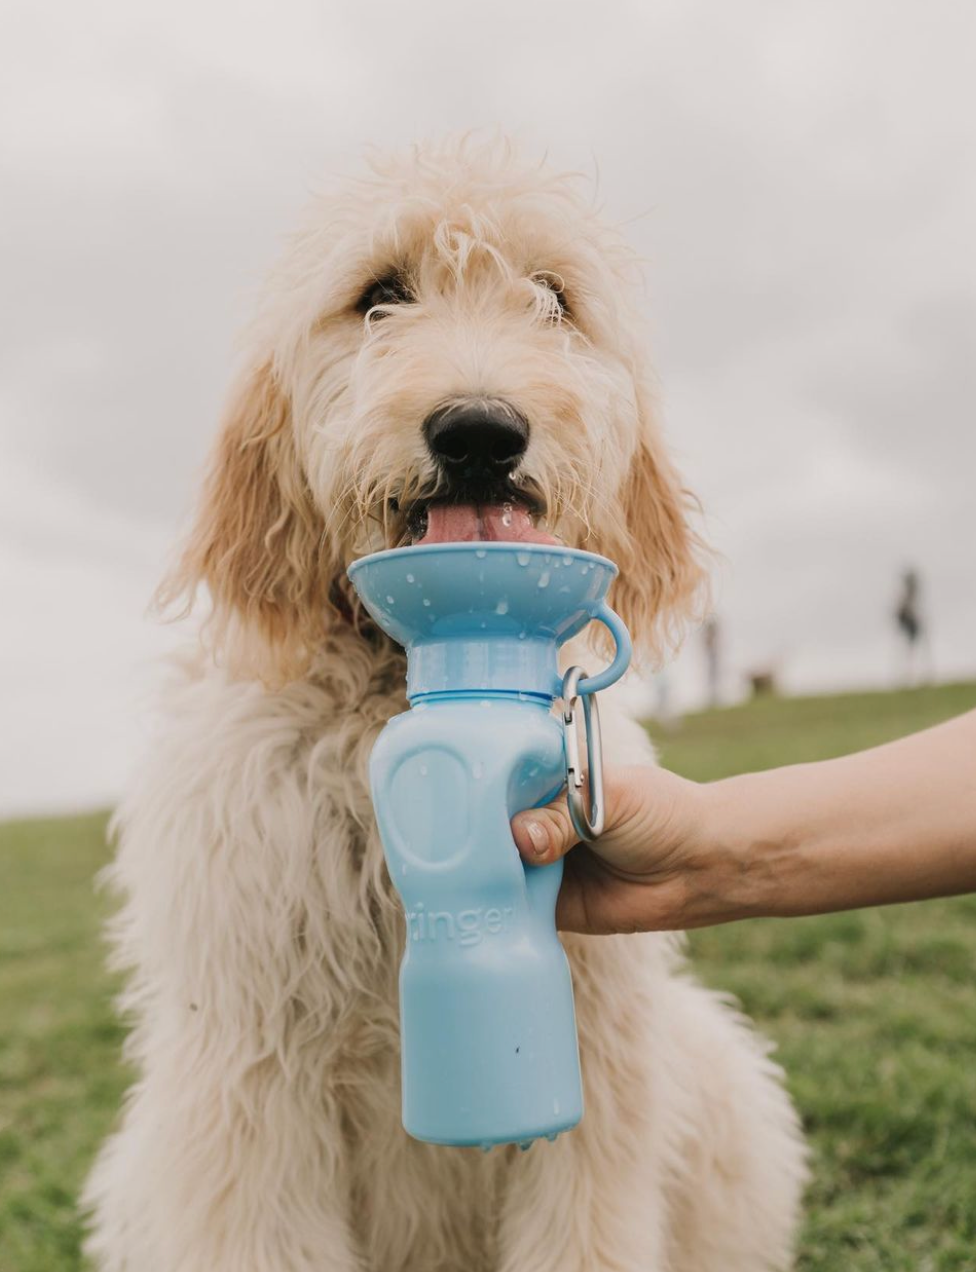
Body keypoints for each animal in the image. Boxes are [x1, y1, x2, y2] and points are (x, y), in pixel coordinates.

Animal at [83, 139, 804, 1272]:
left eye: (552, 297)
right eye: (379, 294)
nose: (479, 431)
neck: (391, 686)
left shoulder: (596, 1047)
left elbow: (584, 1228)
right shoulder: (248, 1070)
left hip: (719, 1081)